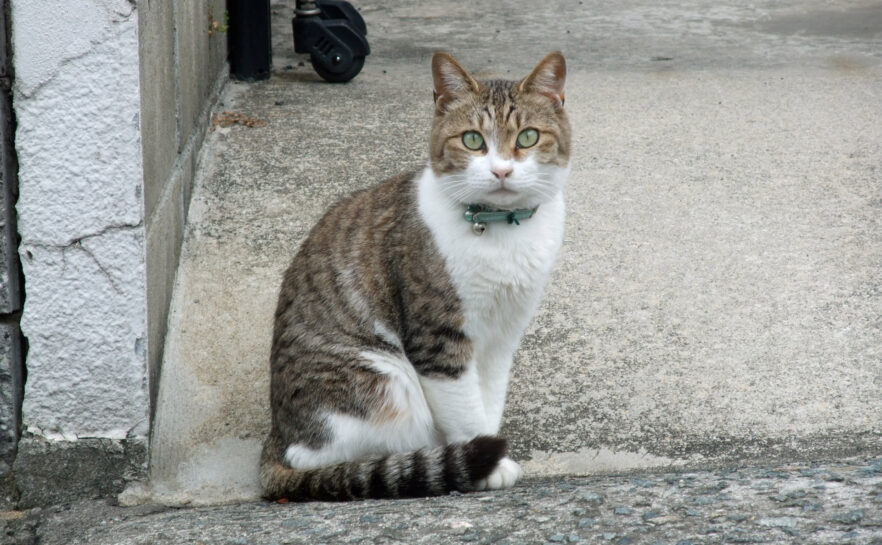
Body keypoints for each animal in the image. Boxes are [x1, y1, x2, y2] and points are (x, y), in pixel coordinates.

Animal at [258, 52, 572, 502]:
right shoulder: (438, 338)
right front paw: (486, 463)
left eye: (528, 137)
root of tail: (275, 437)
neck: (501, 233)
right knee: (318, 458)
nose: (501, 171)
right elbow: (465, 408)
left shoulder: (502, 337)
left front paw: (486, 449)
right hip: (385, 383)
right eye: (473, 140)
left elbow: (489, 398)